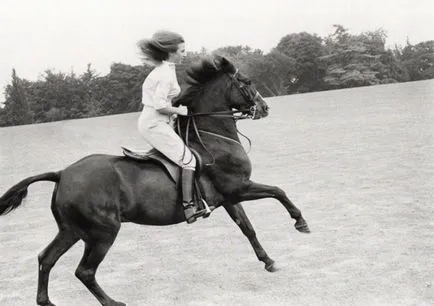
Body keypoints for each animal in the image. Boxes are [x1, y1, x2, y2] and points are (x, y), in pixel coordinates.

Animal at [1, 55, 310, 306]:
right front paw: (300, 223)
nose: (264, 107)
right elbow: (278, 191)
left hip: (71, 230)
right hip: (102, 233)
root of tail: (62, 173)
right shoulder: (239, 187)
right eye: (246, 82)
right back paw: (113, 302)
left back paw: (46, 301)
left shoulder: (229, 198)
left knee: (46, 259)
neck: (214, 138)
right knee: (84, 271)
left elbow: (248, 229)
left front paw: (269, 261)